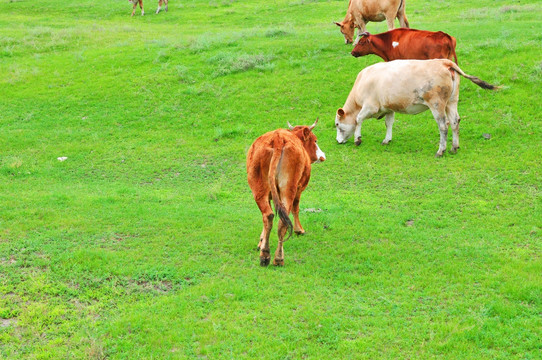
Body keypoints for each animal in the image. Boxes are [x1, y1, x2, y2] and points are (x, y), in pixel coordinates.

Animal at [248, 120, 328, 264]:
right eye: (315, 140)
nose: (323, 156)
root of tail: (278, 138)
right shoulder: (299, 188)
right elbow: (296, 208)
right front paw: (299, 230)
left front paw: (261, 241)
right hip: (289, 188)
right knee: (283, 220)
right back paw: (278, 258)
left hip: (259, 188)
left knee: (268, 215)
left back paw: (265, 254)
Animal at [336, 59, 502, 157]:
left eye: (337, 124)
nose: (338, 141)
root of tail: (444, 62)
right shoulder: (389, 108)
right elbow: (388, 123)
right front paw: (387, 139)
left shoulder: (370, 106)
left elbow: (358, 119)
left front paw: (357, 139)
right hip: (452, 101)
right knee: (455, 122)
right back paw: (454, 148)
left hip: (437, 104)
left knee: (443, 126)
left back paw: (441, 150)